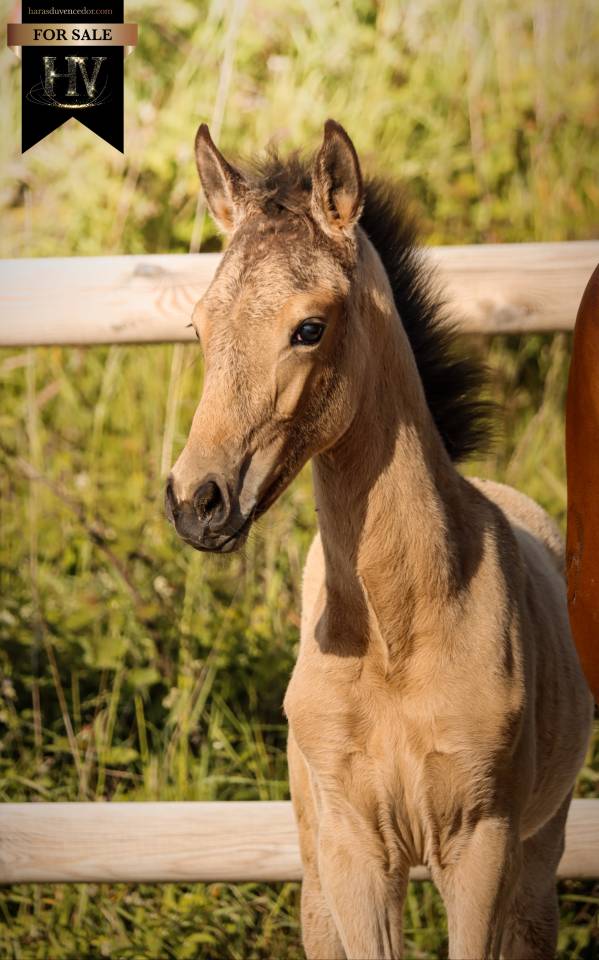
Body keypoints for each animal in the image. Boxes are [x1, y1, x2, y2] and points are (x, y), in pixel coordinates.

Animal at [166, 120, 593, 959]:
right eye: (199, 326)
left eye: (308, 328)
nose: (196, 500)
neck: (396, 629)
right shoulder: (353, 849)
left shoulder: (480, 845)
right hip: (313, 873)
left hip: (538, 862)